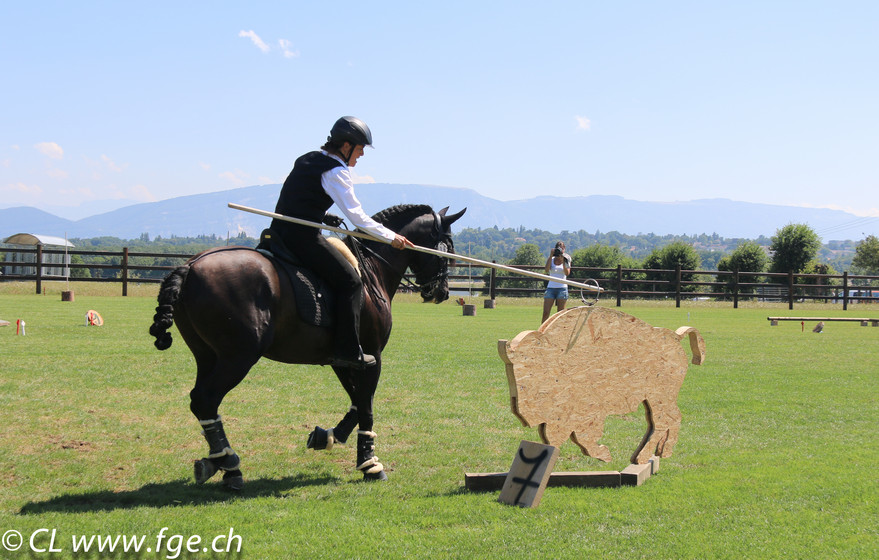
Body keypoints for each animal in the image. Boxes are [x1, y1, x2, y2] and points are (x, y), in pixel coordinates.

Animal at [149, 204, 465, 488]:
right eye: (447, 247)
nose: (441, 292)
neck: (371, 272)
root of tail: (189, 266)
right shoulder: (372, 355)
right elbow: (366, 405)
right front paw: (370, 464)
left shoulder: (344, 358)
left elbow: (356, 401)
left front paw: (327, 436)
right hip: (237, 357)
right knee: (206, 398)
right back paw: (230, 466)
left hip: (207, 356)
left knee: (201, 402)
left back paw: (218, 462)